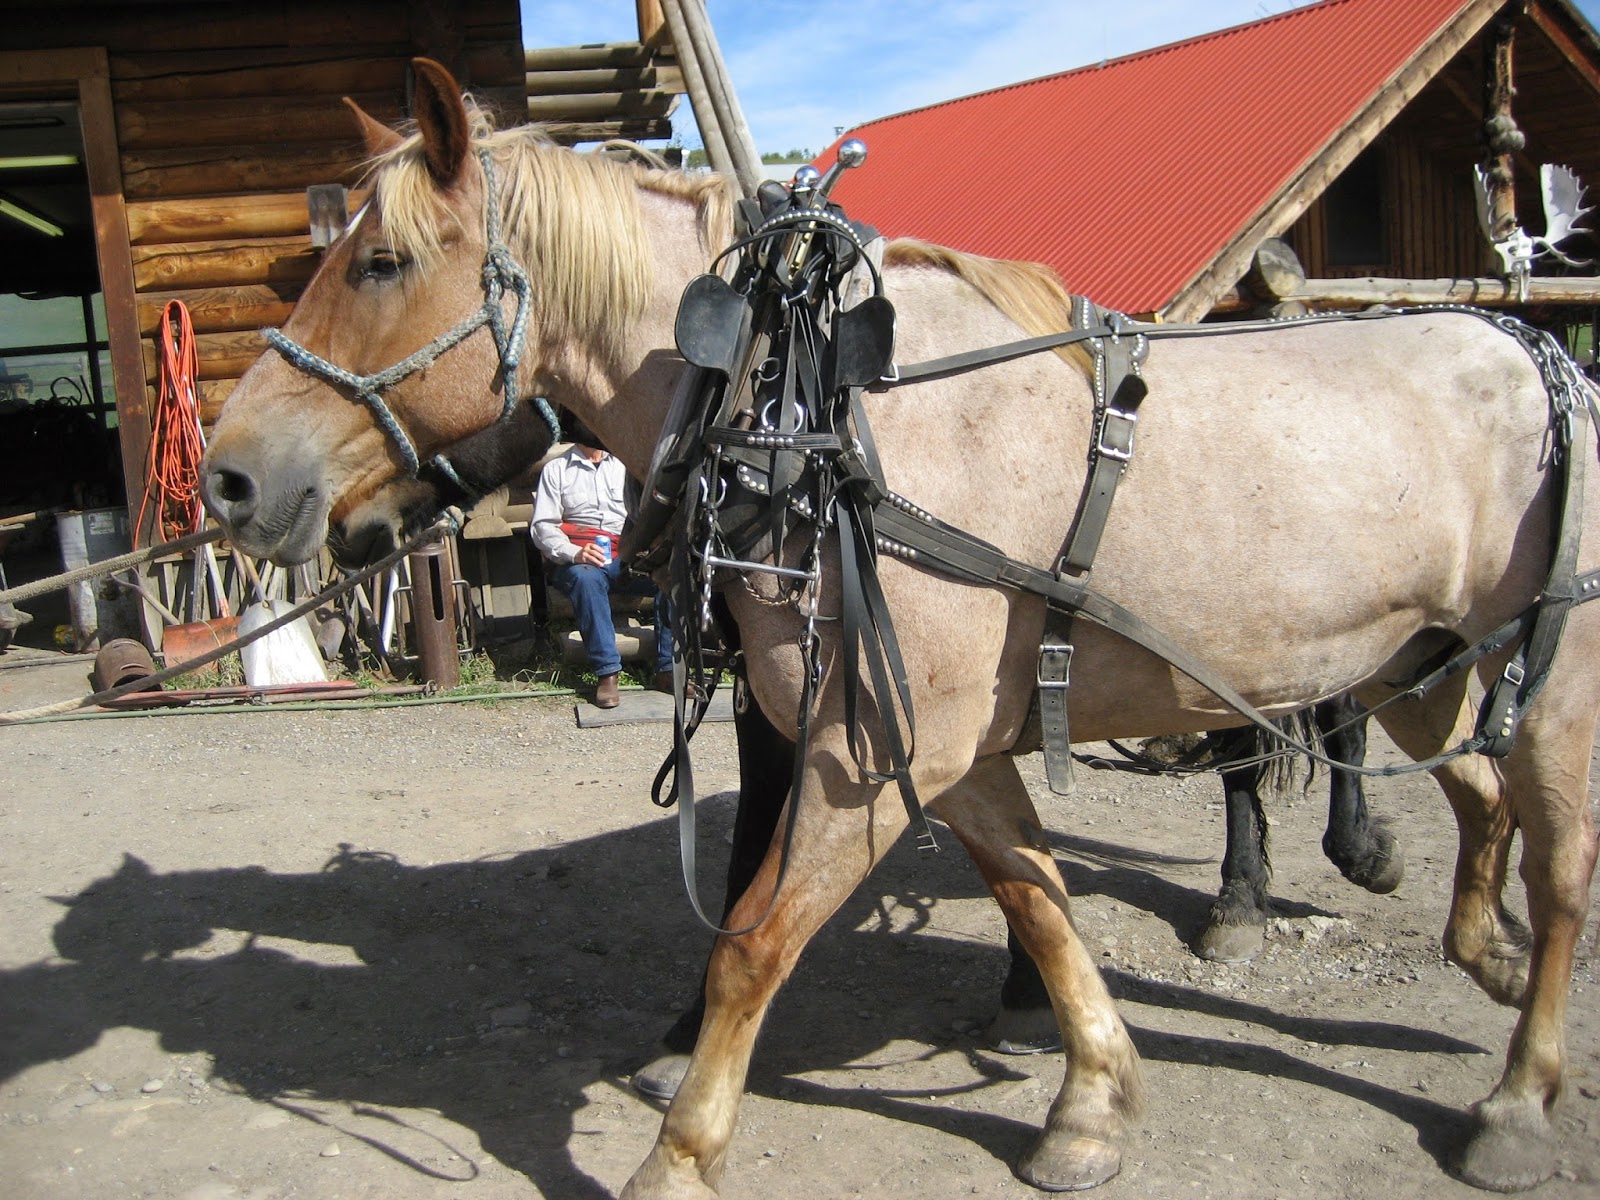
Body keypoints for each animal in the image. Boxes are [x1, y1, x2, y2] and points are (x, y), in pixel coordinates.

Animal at [199, 61, 1598, 1196]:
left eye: (379, 263)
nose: (228, 478)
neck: (809, 416)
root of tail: (1542, 351)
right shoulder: (937, 747)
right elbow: (1036, 898)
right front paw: (1091, 1104)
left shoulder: (866, 754)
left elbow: (752, 948)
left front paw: (679, 1155)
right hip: (1422, 670)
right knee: (1480, 802)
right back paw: (1477, 951)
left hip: (1546, 677)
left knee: (1559, 868)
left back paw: (1519, 1099)